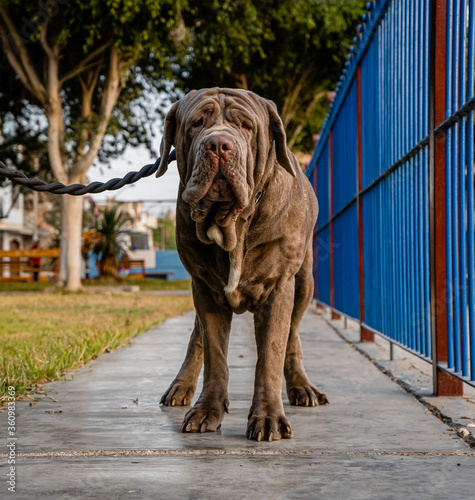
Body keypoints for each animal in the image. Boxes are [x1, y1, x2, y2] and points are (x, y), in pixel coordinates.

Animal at [156, 87, 328, 442]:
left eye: (246, 126)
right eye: (197, 123)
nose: (219, 144)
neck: (231, 224)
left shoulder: (279, 287)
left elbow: (271, 356)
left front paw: (268, 418)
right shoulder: (205, 289)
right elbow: (215, 354)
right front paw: (207, 410)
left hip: (304, 282)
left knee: (293, 336)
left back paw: (302, 387)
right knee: (197, 337)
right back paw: (181, 385)